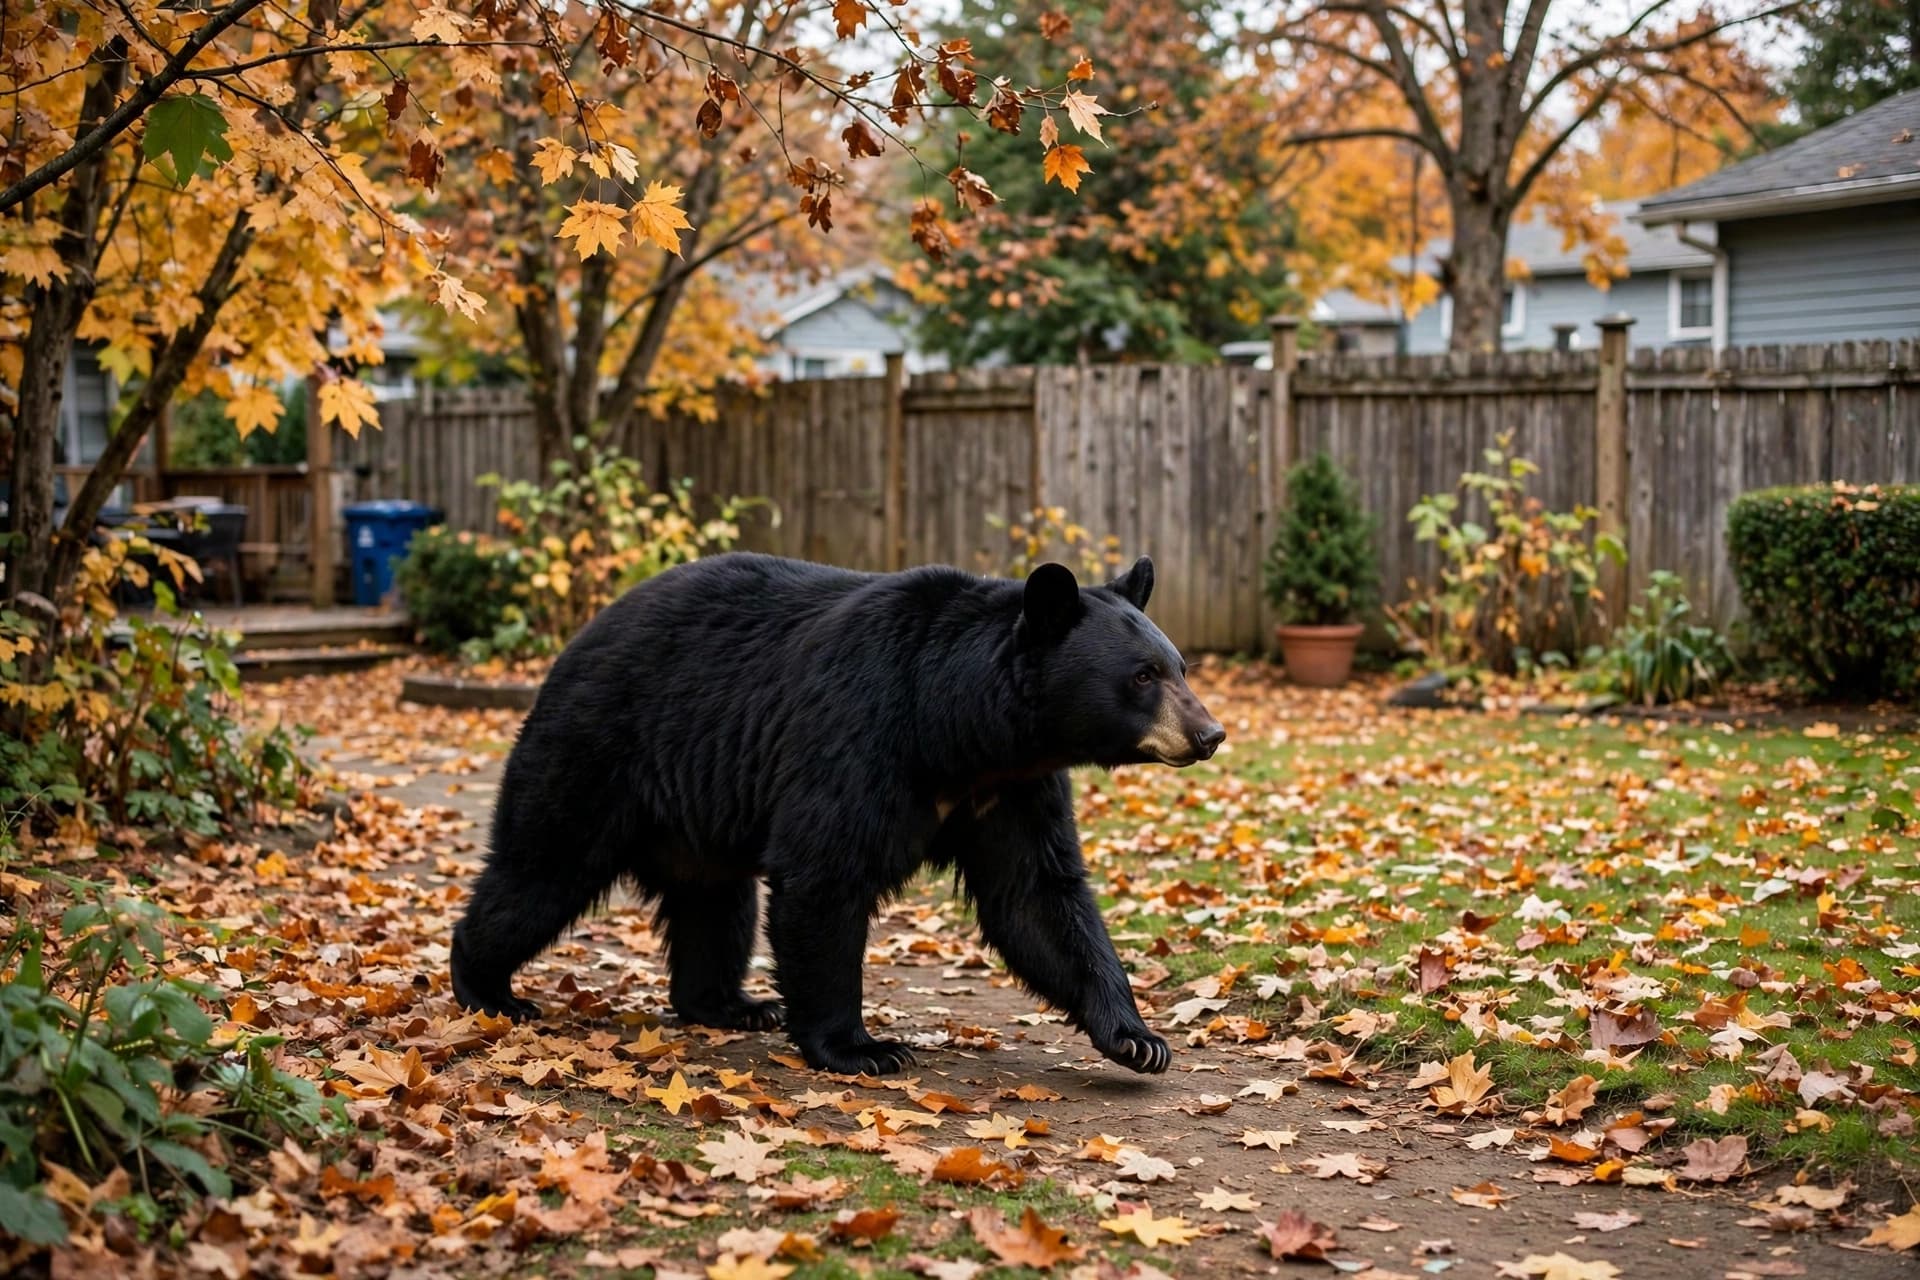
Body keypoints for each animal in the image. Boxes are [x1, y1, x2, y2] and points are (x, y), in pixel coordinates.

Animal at [449, 551, 1225, 1076]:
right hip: (594, 750)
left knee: (717, 907)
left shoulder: (1014, 789)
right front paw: (862, 1047)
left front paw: (1137, 1037)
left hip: (697, 822)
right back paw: (488, 988)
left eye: (1180, 667)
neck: (961, 728)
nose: (1209, 733)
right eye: (1144, 675)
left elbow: (1037, 895)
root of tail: (576, 642)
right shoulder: (861, 732)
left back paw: (729, 1004)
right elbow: (825, 875)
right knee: (540, 869)